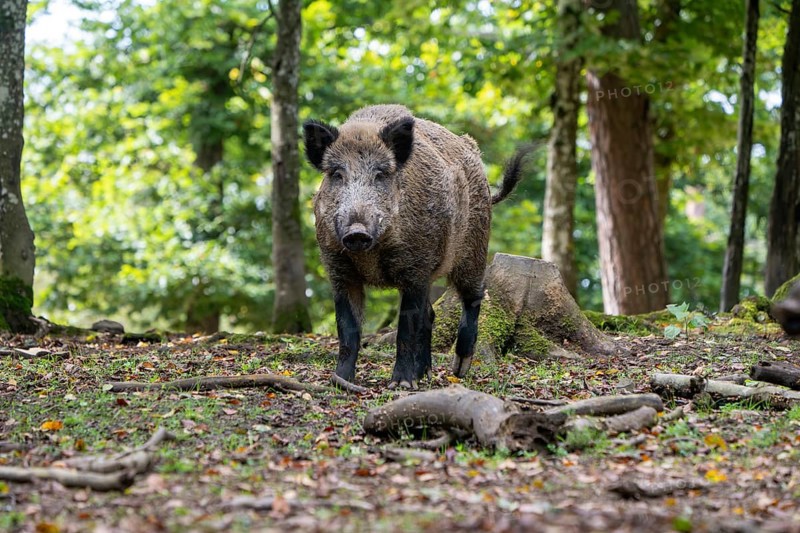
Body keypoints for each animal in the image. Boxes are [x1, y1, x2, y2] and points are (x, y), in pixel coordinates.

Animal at [303, 105, 527, 389]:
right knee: (430, 315)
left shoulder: (415, 269)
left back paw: (458, 370)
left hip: (475, 247)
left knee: (475, 296)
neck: (372, 254)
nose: (357, 231)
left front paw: (401, 385)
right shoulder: (339, 270)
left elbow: (405, 329)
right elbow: (348, 330)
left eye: (381, 174)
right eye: (337, 174)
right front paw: (340, 382)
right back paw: (425, 375)